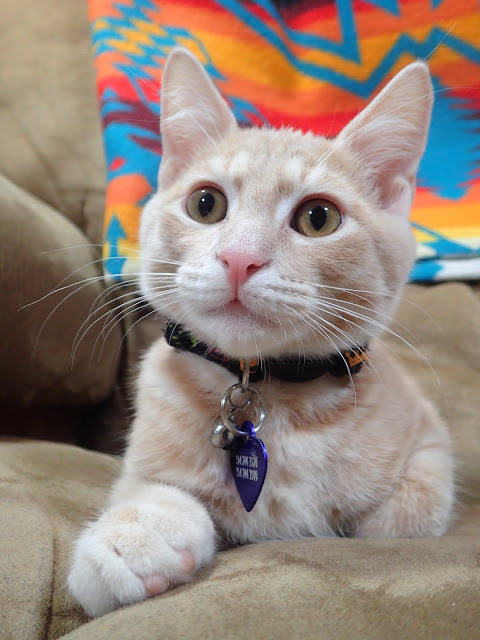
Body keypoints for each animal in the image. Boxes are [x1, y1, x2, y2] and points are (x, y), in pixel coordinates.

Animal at [68, 47, 454, 618]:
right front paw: (132, 539)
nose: (239, 258)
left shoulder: (429, 445)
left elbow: (399, 522)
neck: (273, 392)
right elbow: (151, 489)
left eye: (319, 217)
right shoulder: (144, 461)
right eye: (205, 204)